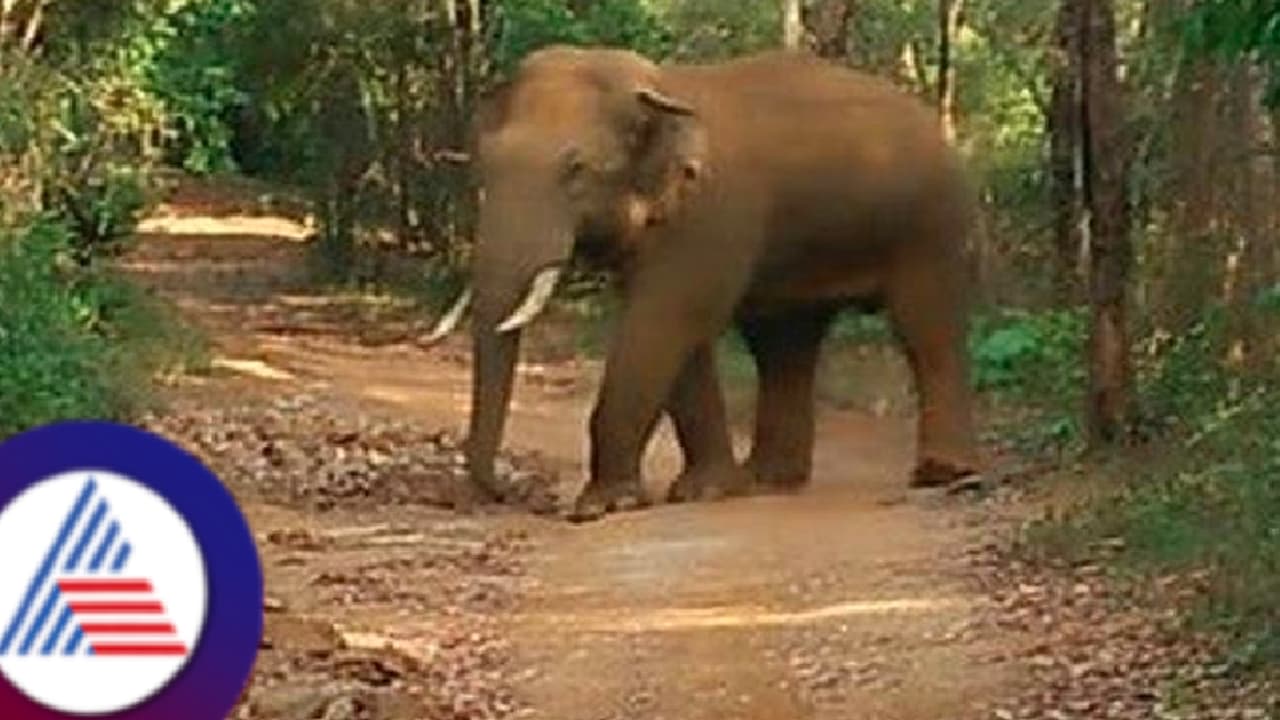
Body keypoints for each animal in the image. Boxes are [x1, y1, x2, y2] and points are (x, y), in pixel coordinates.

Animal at [428, 45, 983, 520]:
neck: (658, 87)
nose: (507, 494)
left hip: (935, 222)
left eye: (575, 169)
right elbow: (678, 335)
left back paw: (944, 476)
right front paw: (706, 490)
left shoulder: (708, 216)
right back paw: (768, 480)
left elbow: (665, 320)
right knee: (783, 343)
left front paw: (603, 505)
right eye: (484, 167)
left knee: (926, 329)